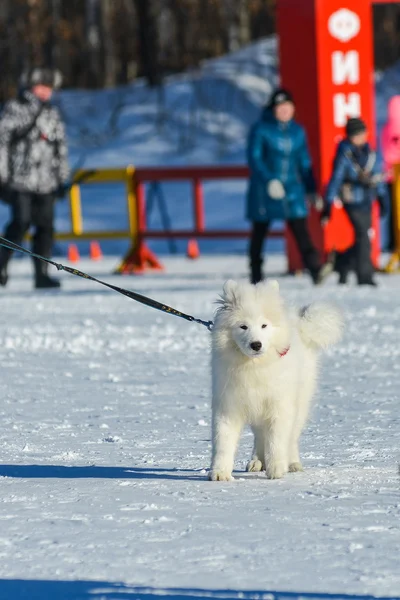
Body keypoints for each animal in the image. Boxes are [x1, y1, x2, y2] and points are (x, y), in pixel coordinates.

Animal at [209, 278, 344, 480]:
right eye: (243, 326)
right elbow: (223, 442)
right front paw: (220, 473)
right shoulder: (228, 405)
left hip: (299, 402)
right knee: (260, 434)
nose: (256, 344)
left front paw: (277, 470)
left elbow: (277, 441)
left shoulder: (279, 406)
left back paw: (292, 463)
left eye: (264, 326)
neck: (254, 367)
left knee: (291, 436)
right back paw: (257, 461)